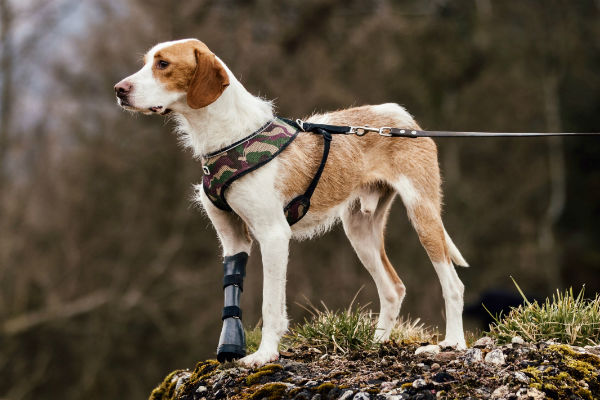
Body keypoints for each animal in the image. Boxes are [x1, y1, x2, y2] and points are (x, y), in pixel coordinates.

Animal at [113, 39, 468, 368]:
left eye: (163, 64)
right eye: (146, 61)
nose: (118, 90)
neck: (231, 137)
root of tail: (400, 116)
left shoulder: (273, 235)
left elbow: (271, 303)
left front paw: (264, 355)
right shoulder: (232, 238)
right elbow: (232, 292)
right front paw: (231, 348)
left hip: (423, 215)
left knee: (453, 284)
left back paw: (452, 343)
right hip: (359, 231)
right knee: (393, 288)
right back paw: (377, 342)